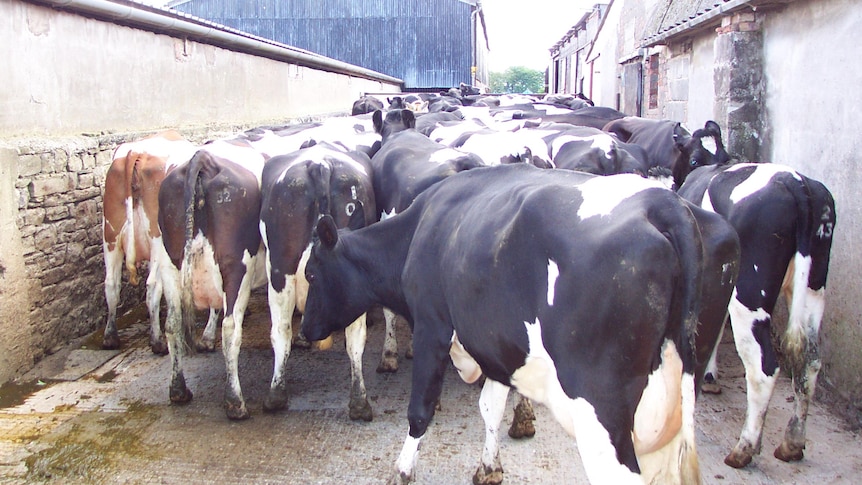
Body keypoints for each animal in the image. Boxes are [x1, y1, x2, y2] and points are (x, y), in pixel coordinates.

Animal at [101, 130, 219, 354]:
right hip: (157, 243)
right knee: (153, 285)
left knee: (111, 284)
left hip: (110, 235)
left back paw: (111, 337)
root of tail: (136, 152)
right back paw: (157, 340)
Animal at [258, 141, 376, 420]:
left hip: (279, 270)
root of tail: (319, 165)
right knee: (356, 337)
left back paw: (275, 396)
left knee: (280, 331)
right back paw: (359, 403)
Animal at [304, 164, 708, 484]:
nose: (306, 330)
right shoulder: (498, 347)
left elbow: (420, 410)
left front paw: (402, 470)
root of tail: (662, 204)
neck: (420, 231)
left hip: (600, 406)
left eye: (310, 273)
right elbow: (490, 407)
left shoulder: (432, 328)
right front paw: (489, 467)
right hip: (668, 408)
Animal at [680, 163, 836, 468]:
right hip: (813, 286)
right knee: (810, 361)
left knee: (763, 367)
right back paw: (792, 443)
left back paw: (744, 449)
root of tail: (795, 181)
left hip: (750, 292)